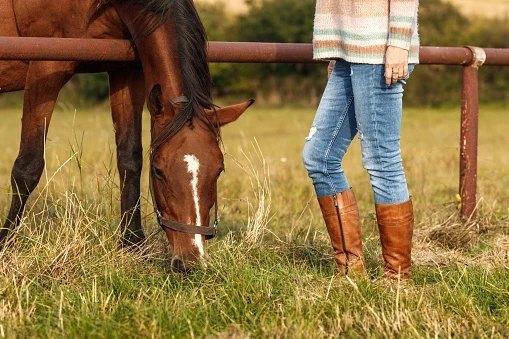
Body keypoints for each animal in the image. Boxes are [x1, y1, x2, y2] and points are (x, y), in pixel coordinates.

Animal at [0, 0, 254, 272]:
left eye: (219, 170)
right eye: (159, 171)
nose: (191, 259)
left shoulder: (126, 70)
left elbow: (129, 159)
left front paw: (133, 243)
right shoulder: (45, 66)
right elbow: (28, 167)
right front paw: (5, 243)